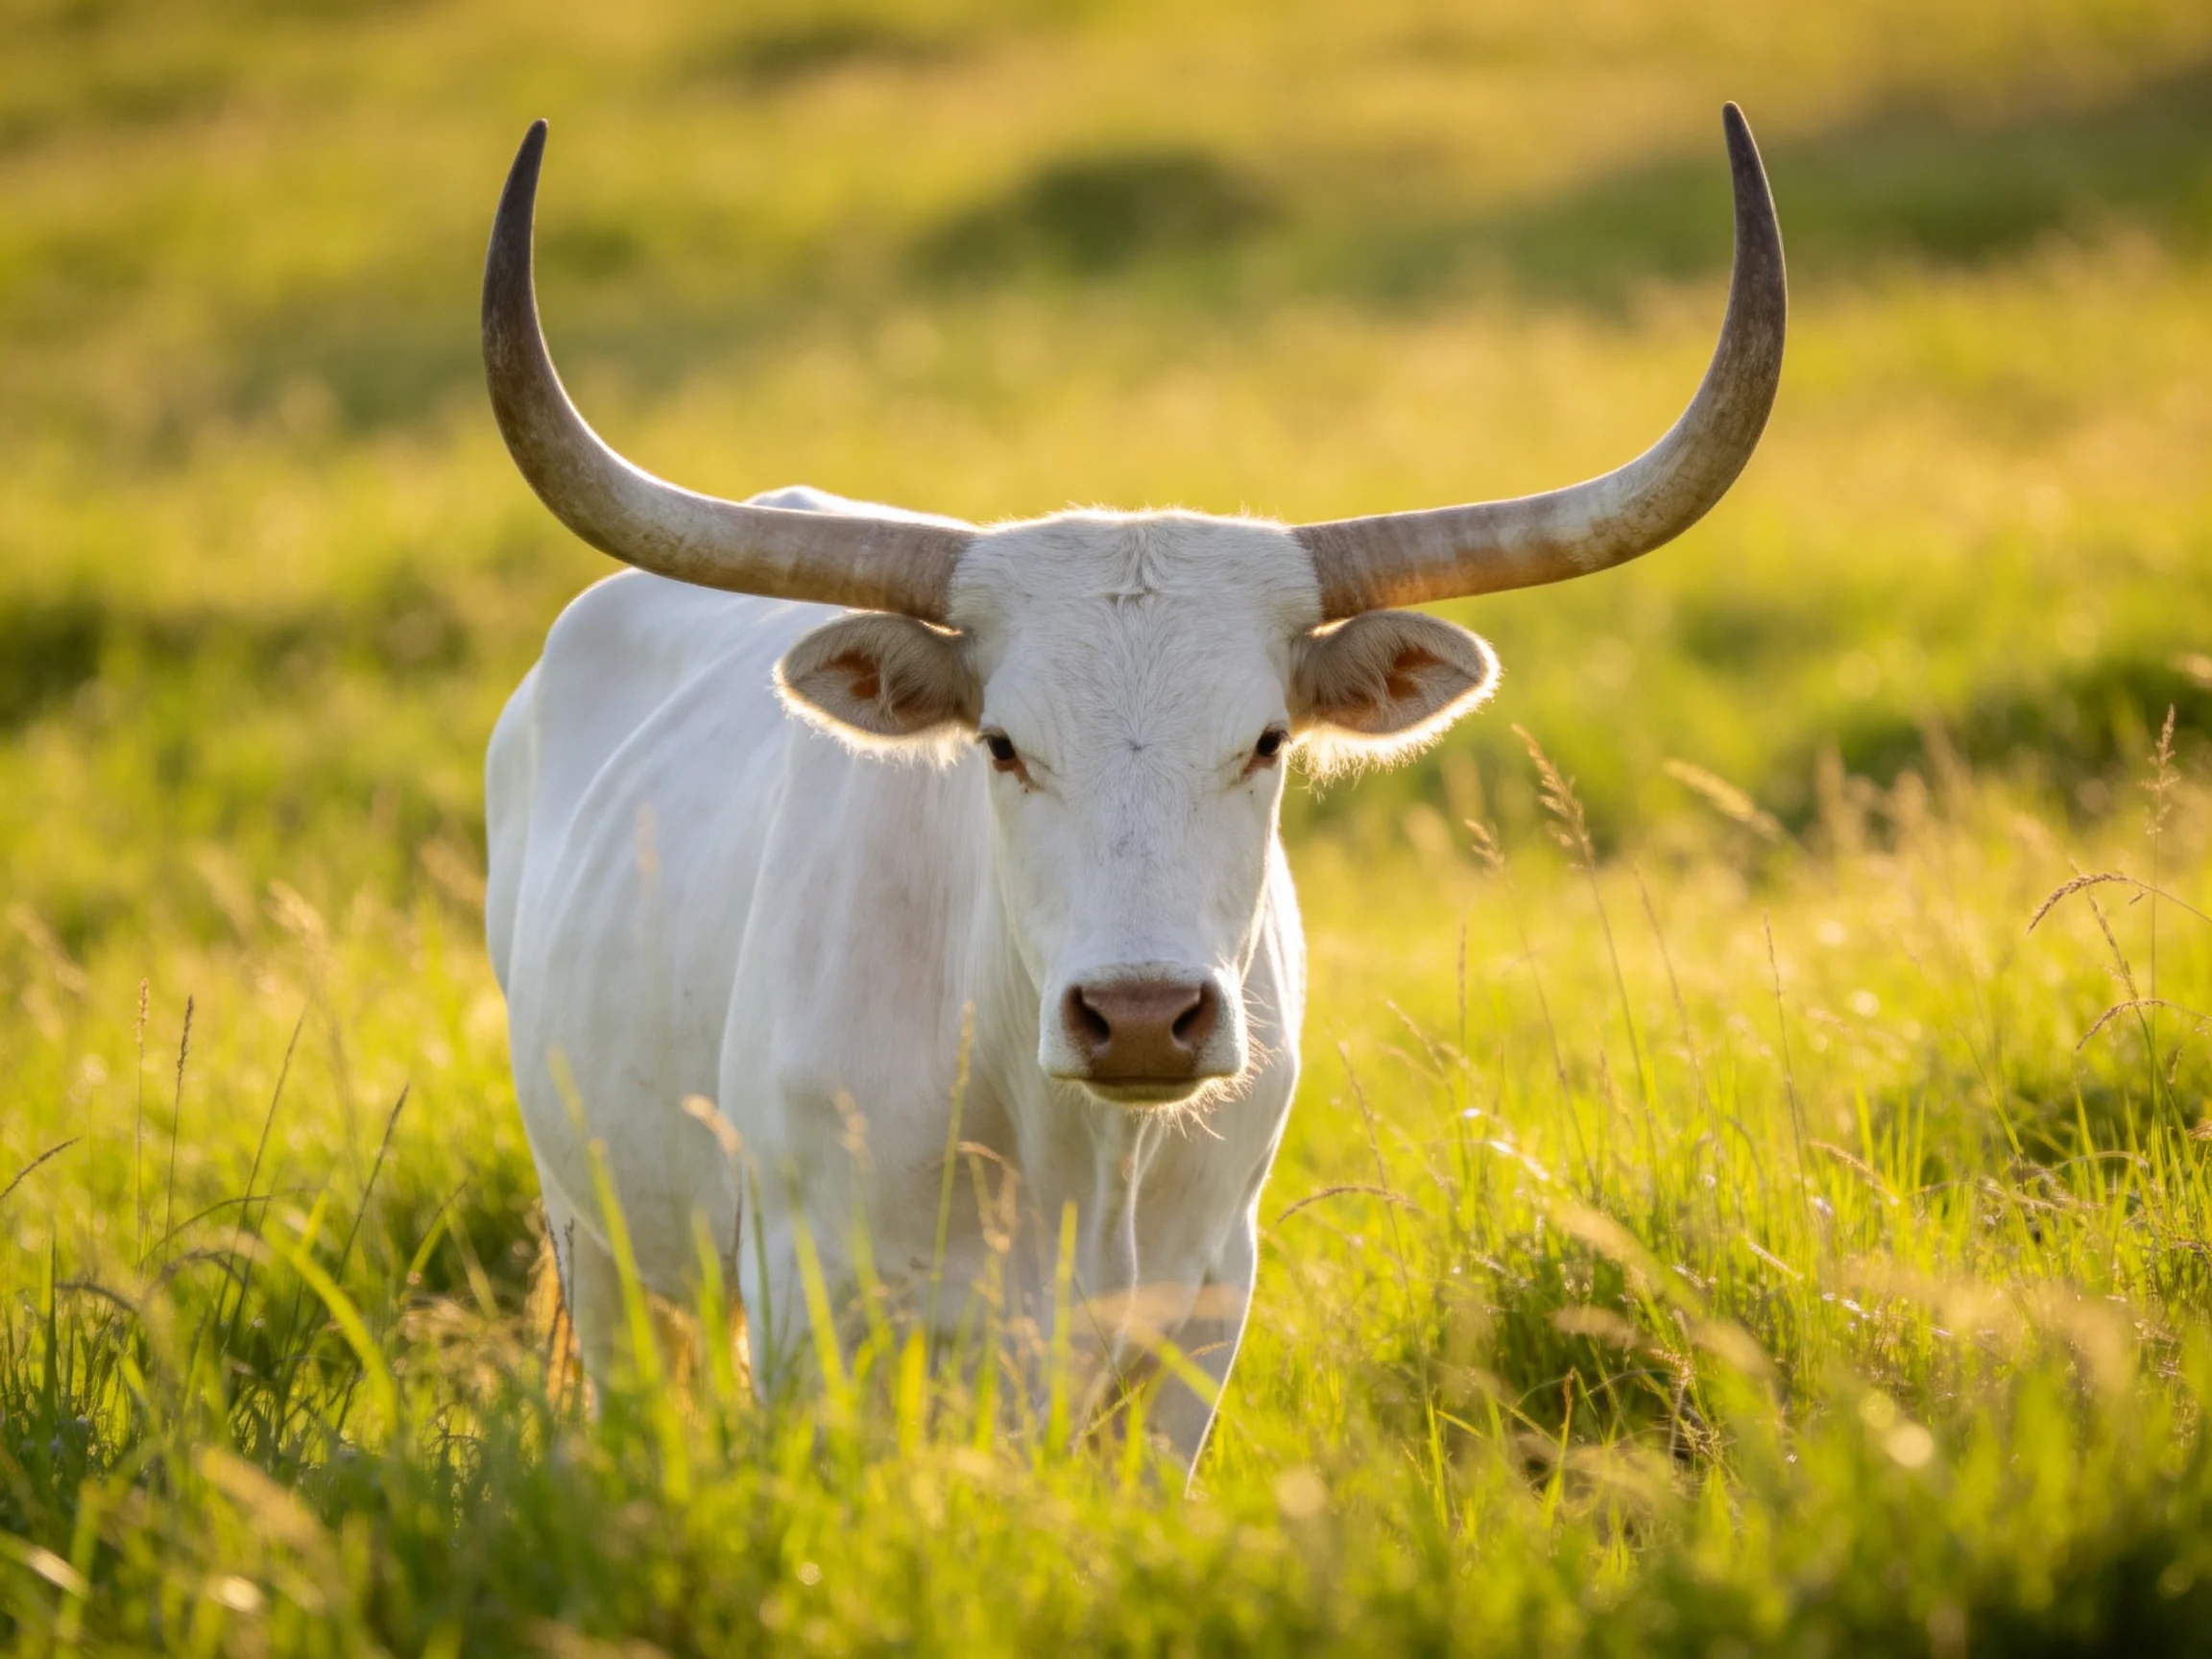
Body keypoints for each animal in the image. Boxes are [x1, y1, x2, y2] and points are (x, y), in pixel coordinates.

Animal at [482, 107, 1784, 1472]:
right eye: (1002, 745)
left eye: (1267, 740)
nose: (1146, 1016)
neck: (1077, 1158)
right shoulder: (819, 1306)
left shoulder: (1198, 1316)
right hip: (602, 1233)